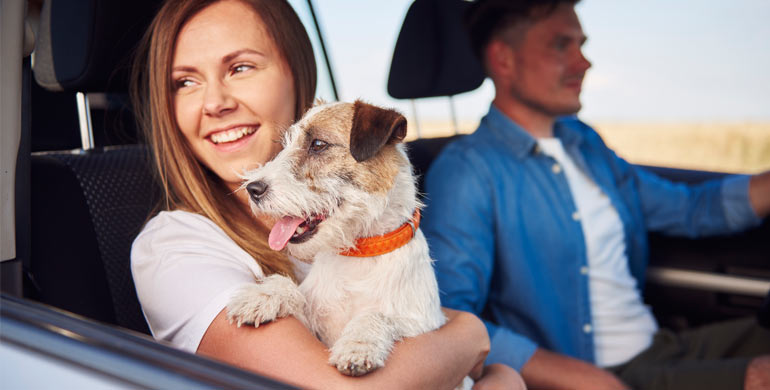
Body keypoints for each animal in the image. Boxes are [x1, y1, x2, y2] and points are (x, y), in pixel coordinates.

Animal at [225, 100, 472, 386]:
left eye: (318, 144)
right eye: (285, 144)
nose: (252, 189)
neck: (359, 255)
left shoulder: (423, 324)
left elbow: (378, 315)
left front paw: (358, 346)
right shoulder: (317, 325)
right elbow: (296, 293)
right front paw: (263, 295)